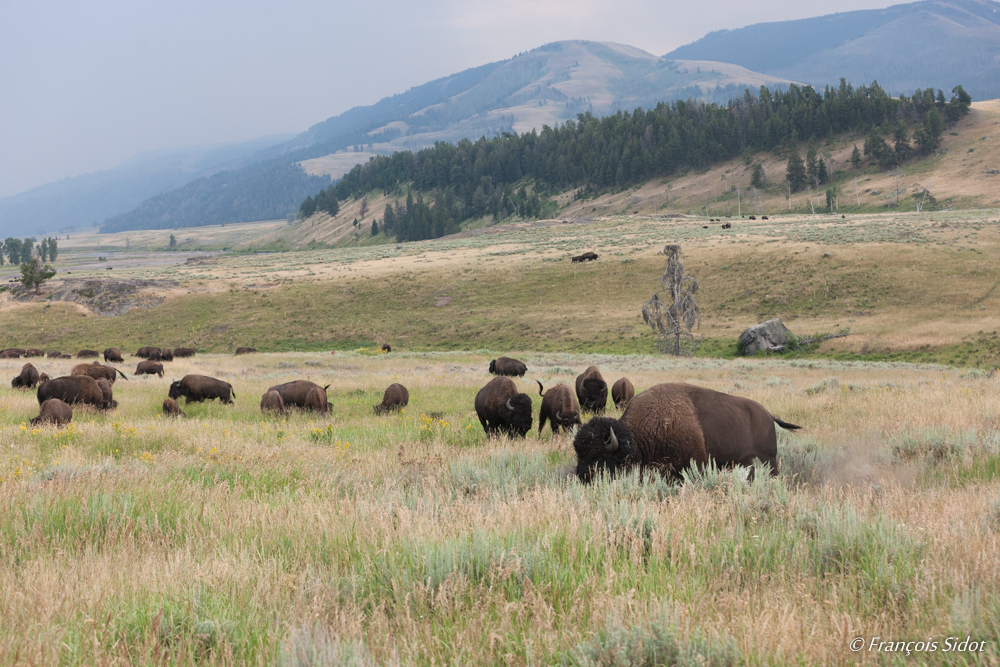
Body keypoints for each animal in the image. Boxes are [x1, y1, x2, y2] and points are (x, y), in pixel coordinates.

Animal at [576, 380, 800, 486]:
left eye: (599, 458)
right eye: (580, 453)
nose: (581, 477)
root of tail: (768, 414)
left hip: (768, 457)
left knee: (772, 473)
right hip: (745, 460)